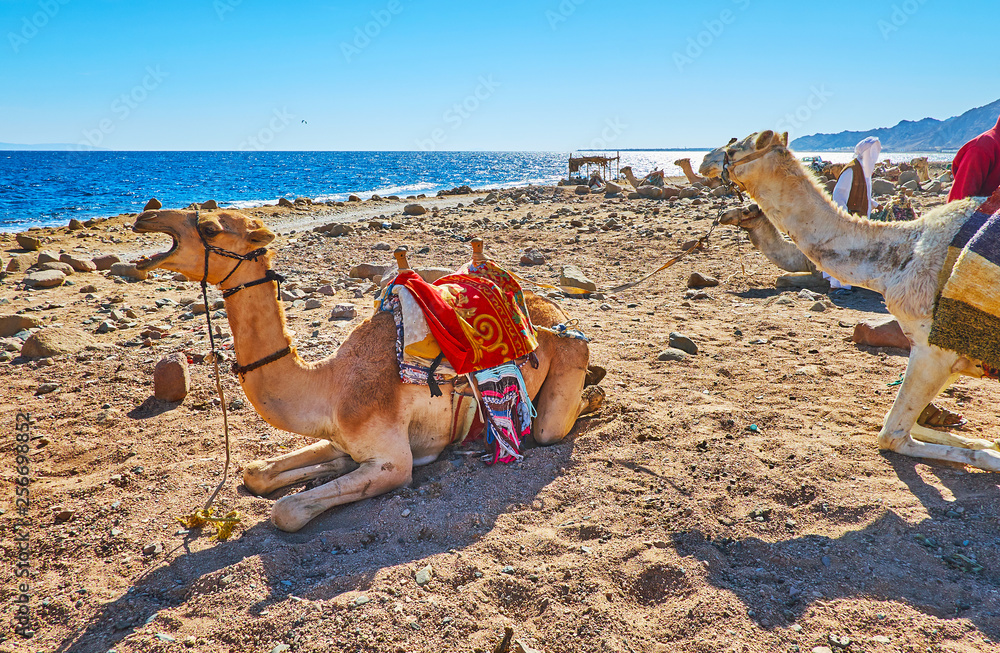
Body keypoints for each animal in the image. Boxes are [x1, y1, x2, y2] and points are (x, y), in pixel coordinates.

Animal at [131, 209, 600, 528]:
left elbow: (286, 510)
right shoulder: (340, 435)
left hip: (563, 363)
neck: (329, 386)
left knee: (551, 420)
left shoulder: (394, 462)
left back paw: (594, 389)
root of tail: (553, 307)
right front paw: (332, 467)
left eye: (210, 227)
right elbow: (257, 473)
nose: (146, 215)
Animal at [700, 130, 1000, 472]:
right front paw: (988, 442)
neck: (898, 256)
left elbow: (892, 435)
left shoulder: (934, 348)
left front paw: (990, 452)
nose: (705, 159)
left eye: (735, 148)